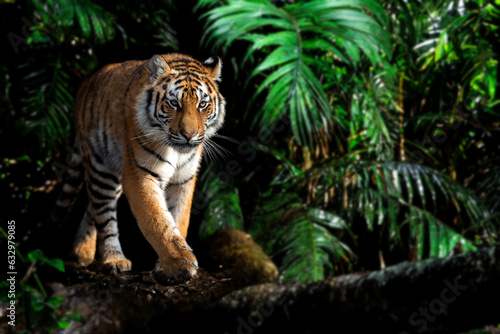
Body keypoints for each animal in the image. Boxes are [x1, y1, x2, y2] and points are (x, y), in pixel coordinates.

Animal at [49, 53, 226, 284]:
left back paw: (81, 252)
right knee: (104, 215)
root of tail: (85, 83)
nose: (189, 135)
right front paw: (180, 264)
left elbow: (179, 219)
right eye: (174, 103)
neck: (177, 151)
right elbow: (156, 220)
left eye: (203, 104)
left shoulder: (184, 180)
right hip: (101, 168)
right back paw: (113, 259)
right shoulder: (140, 173)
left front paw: (167, 267)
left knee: (92, 208)